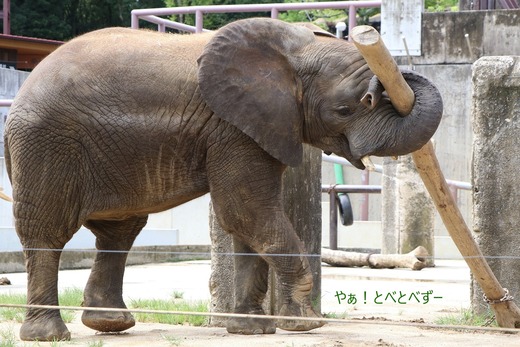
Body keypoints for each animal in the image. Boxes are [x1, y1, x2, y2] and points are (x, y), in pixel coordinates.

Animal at [4, 17, 442, 342]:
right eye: (345, 109)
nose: (382, 81)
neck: (294, 50)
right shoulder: (233, 127)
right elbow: (247, 210)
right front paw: (305, 323)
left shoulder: (259, 126)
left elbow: (245, 219)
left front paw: (251, 329)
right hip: (47, 144)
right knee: (48, 230)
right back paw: (49, 335)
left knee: (119, 231)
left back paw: (111, 325)